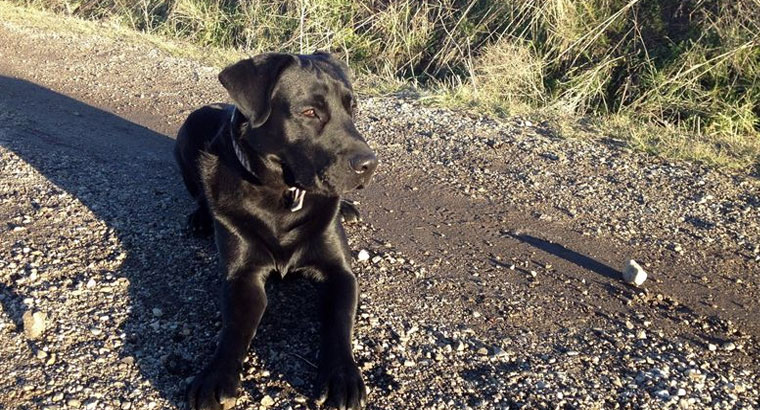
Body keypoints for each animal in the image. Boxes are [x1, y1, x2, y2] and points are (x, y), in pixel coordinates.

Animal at [178, 52, 380, 410]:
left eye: (352, 107)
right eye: (310, 112)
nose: (369, 164)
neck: (286, 195)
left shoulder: (340, 272)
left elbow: (339, 320)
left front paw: (342, 375)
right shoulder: (242, 275)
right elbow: (235, 326)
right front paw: (216, 375)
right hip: (186, 137)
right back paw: (201, 216)